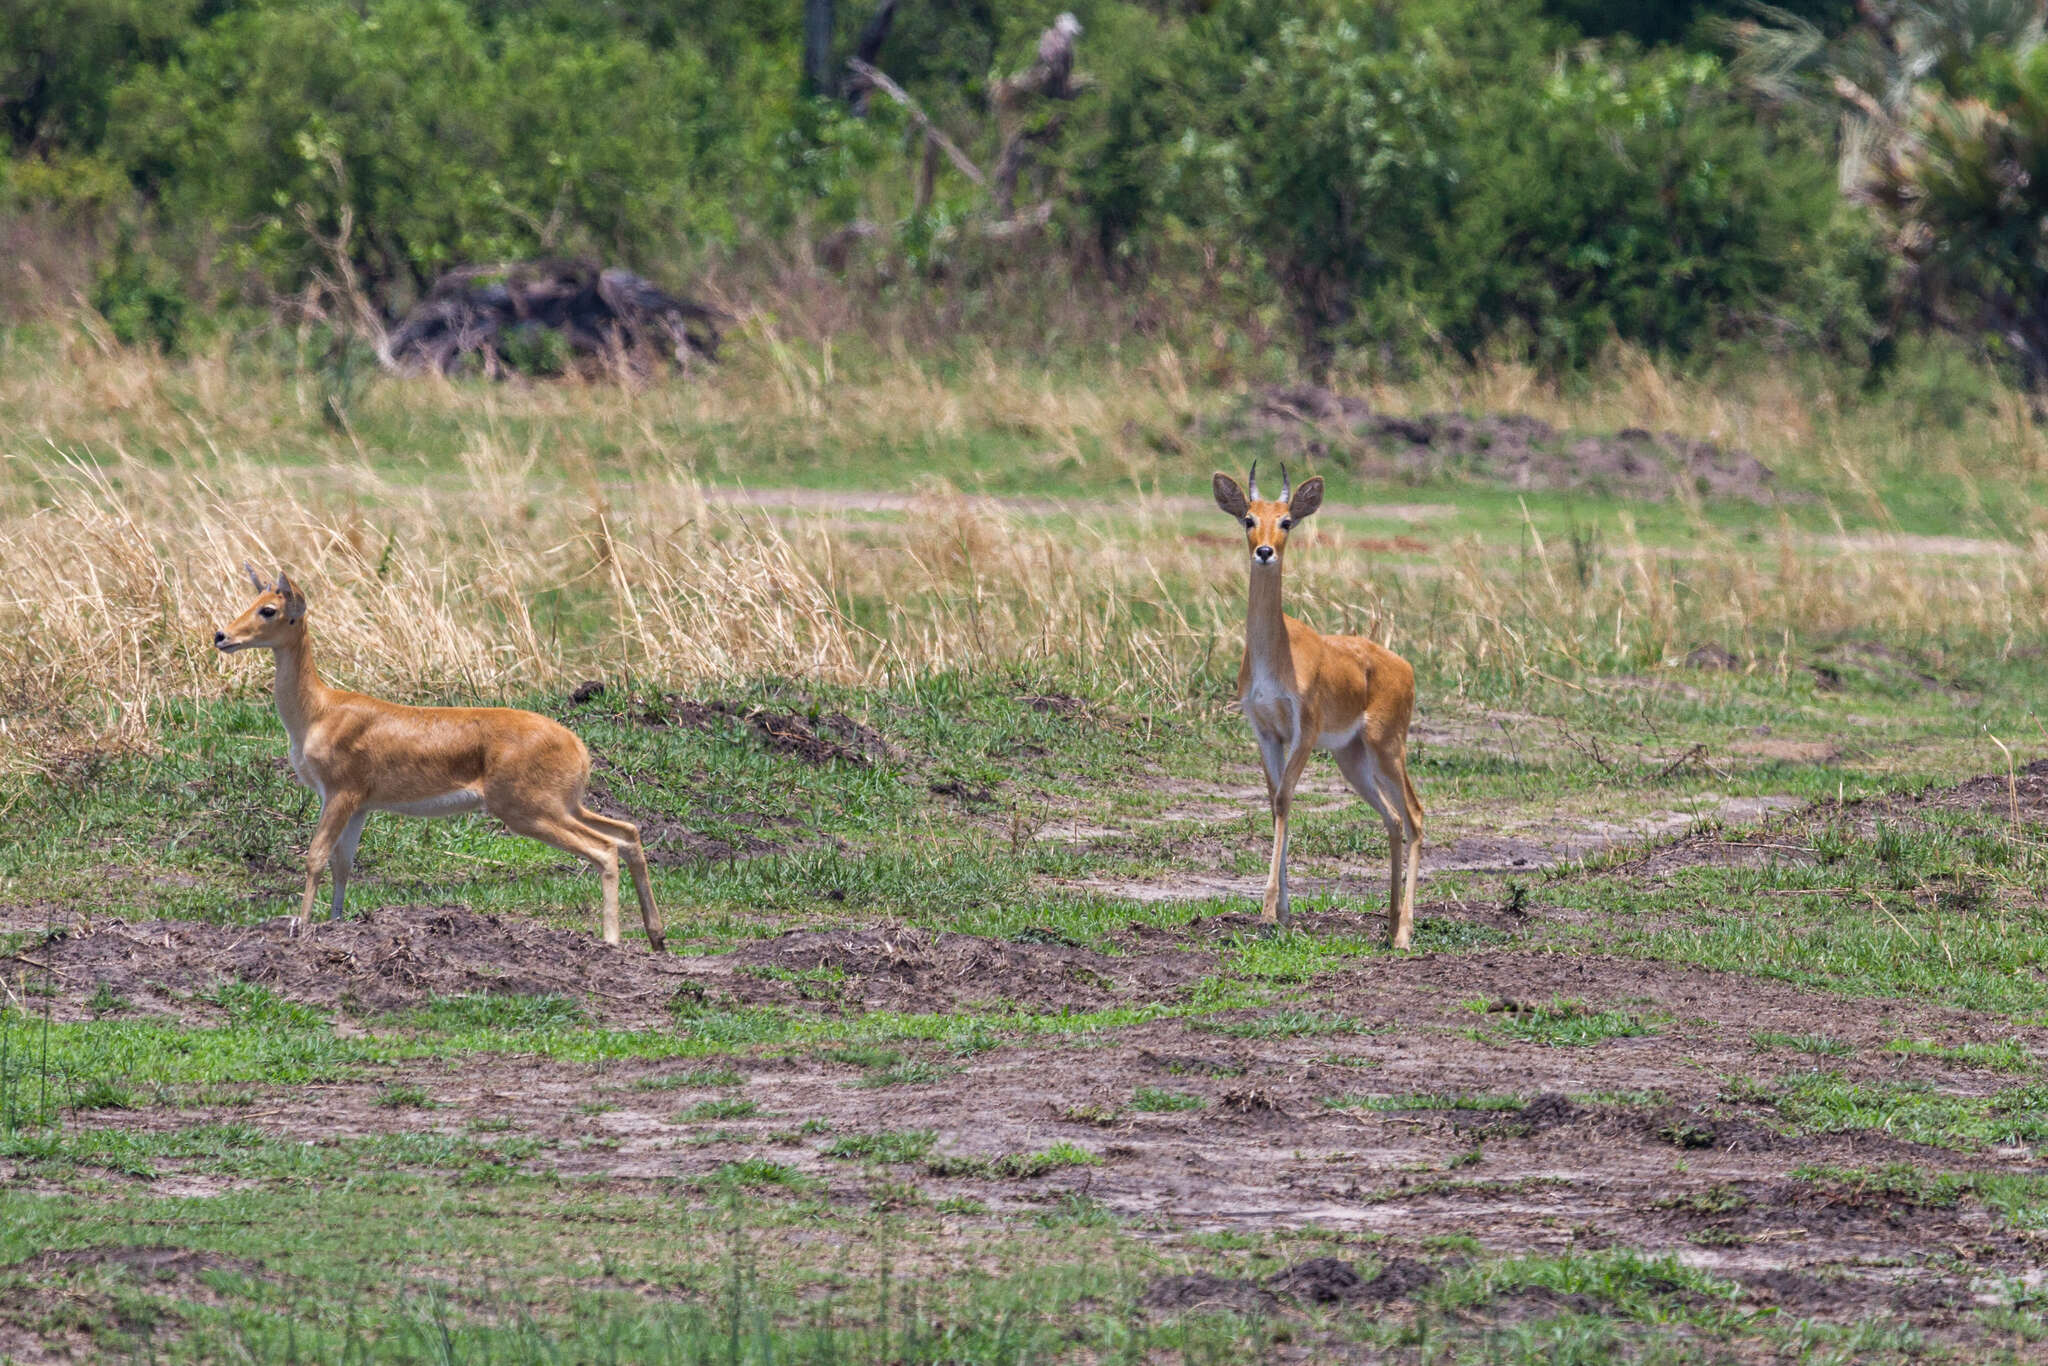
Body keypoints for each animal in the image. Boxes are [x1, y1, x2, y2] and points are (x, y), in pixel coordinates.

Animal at [215, 565, 663, 950]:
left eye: (269, 609)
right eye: (254, 599)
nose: (222, 635)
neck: (319, 712)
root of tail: (578, 746)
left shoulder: (341, 793)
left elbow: (315, 857)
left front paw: (302, 925)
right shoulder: (358, 805)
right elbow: (344, 863)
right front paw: (336, 922)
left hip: (530, 811)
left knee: (604, 849)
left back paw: (611, 940)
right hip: (566, 806)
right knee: (628, 833)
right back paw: (656, 937)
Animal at [1204, 464, 1417, 946]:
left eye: (1287, 521)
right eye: (1248, 518)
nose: (1264, 551)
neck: (1277, 654)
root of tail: (1404, 666)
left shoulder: (1305, 730)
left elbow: (1285, 799)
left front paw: (1268, 910)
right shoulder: (1266, 732)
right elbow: (1274, 801)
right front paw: (1282, 912)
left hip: (1387, 748)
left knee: (1414, 815)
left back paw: (1404, 934)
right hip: (1352, 760)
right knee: (1395, 820)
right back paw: (1389, 923)